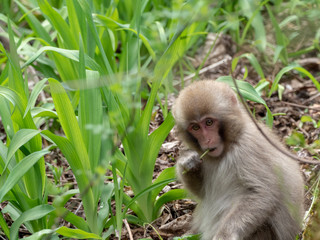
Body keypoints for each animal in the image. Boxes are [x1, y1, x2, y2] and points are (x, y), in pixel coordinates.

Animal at [172, 79, 304, 239]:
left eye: (209, 122)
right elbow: (201, 192)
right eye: (195, 127)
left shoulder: (248, 149)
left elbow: (262, 193)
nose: (207, 140)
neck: (230, 143)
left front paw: (225, 234)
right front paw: (187, 162)